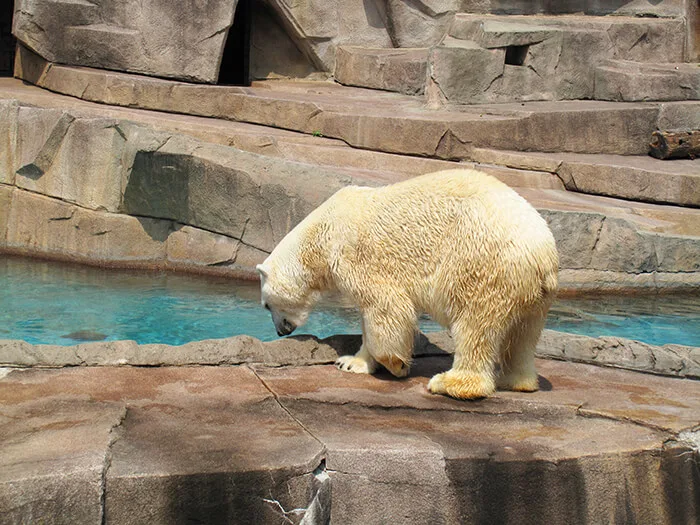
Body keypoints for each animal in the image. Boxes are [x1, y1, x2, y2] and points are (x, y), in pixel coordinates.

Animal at [258, 168, 556, 398]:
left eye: (266, 305)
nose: (280, 332)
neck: (321, 233)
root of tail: (543, 252)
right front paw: (351, 363)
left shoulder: (355, 255)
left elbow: (387, 306)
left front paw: (396, 364)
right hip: (531, 292)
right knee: (523, 334)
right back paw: (517, 380)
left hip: (482, 263)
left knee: (474, 325)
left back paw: (450, 383)